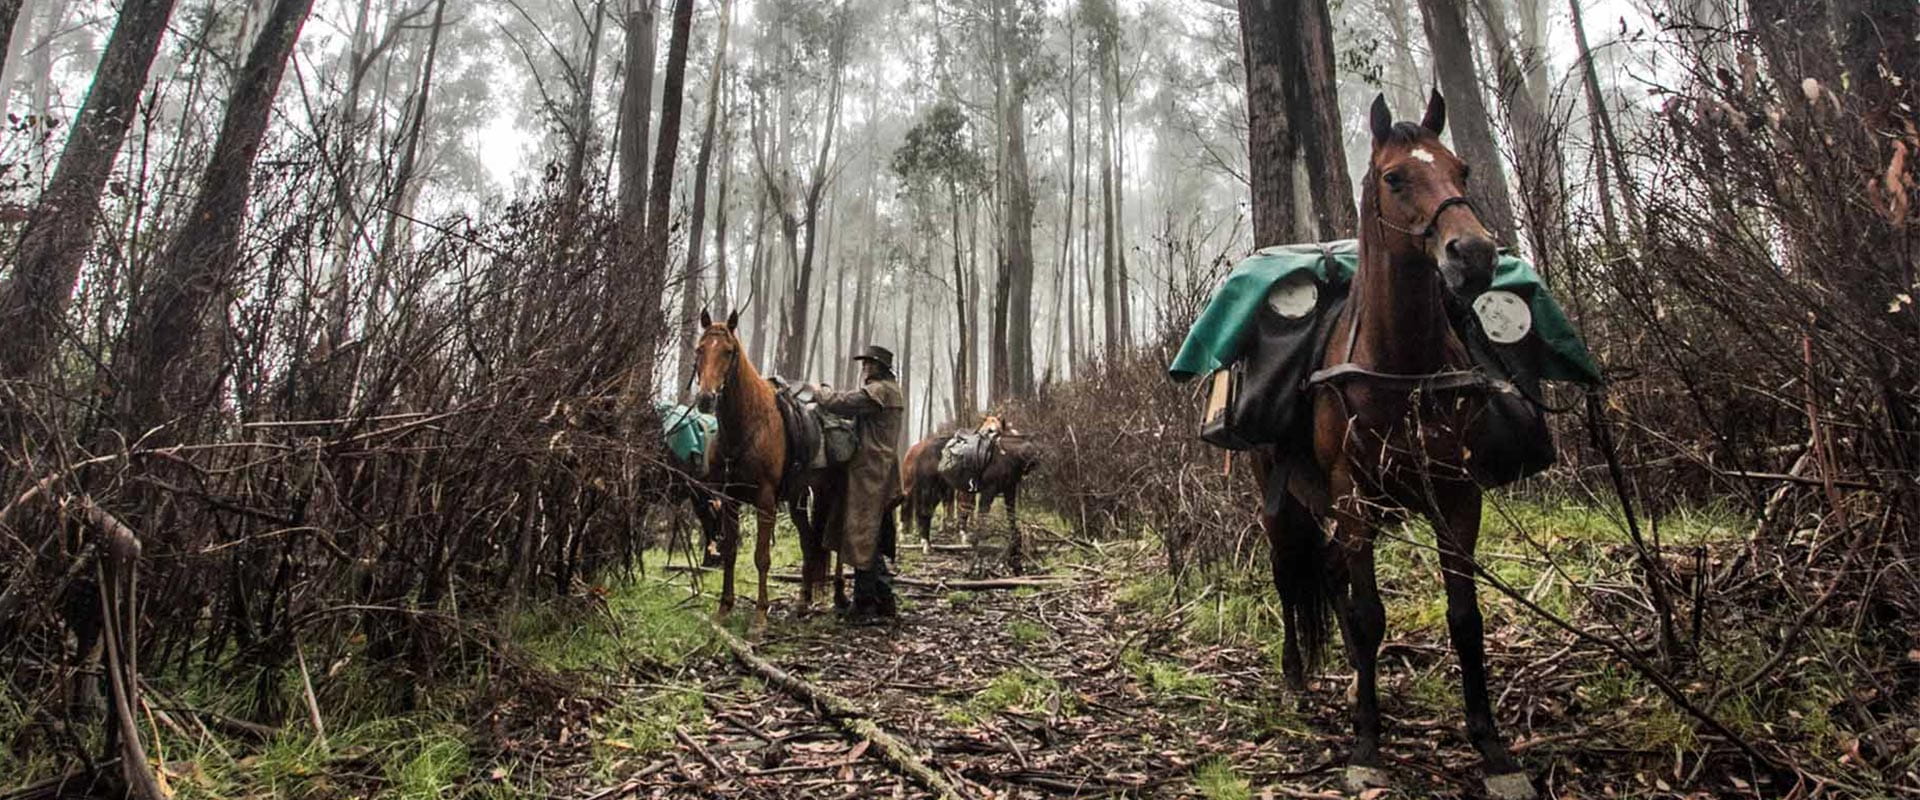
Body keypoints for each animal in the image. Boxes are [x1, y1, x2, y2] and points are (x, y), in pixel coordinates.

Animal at [1259, 91, 1537, 800]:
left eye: (1461, 169)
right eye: (1394, 178)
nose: (1475, 254)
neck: (1402, 366)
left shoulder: (1457, 495)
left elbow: (1464, 615)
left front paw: (1492, 748)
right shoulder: (1353, 495)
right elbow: (1367, 615)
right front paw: (1367, 745)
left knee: (1329, 571)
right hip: (1282, 501)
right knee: (1289, 575)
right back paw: (1297, 678)